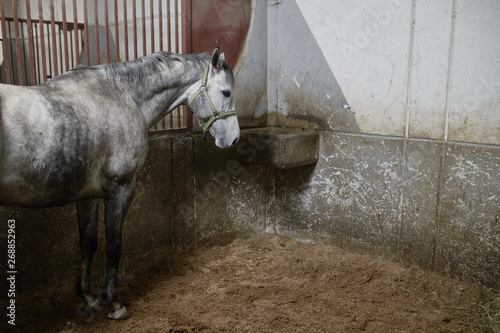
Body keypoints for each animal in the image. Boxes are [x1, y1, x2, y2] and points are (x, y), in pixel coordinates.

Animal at [0, 48, 238, 318]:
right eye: (226, 92)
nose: (233, 138)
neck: (124, 97)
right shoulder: (121, 188)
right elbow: (113, 245)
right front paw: (113, 303)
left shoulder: (88, 196)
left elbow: (88, 243)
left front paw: (88, 298)